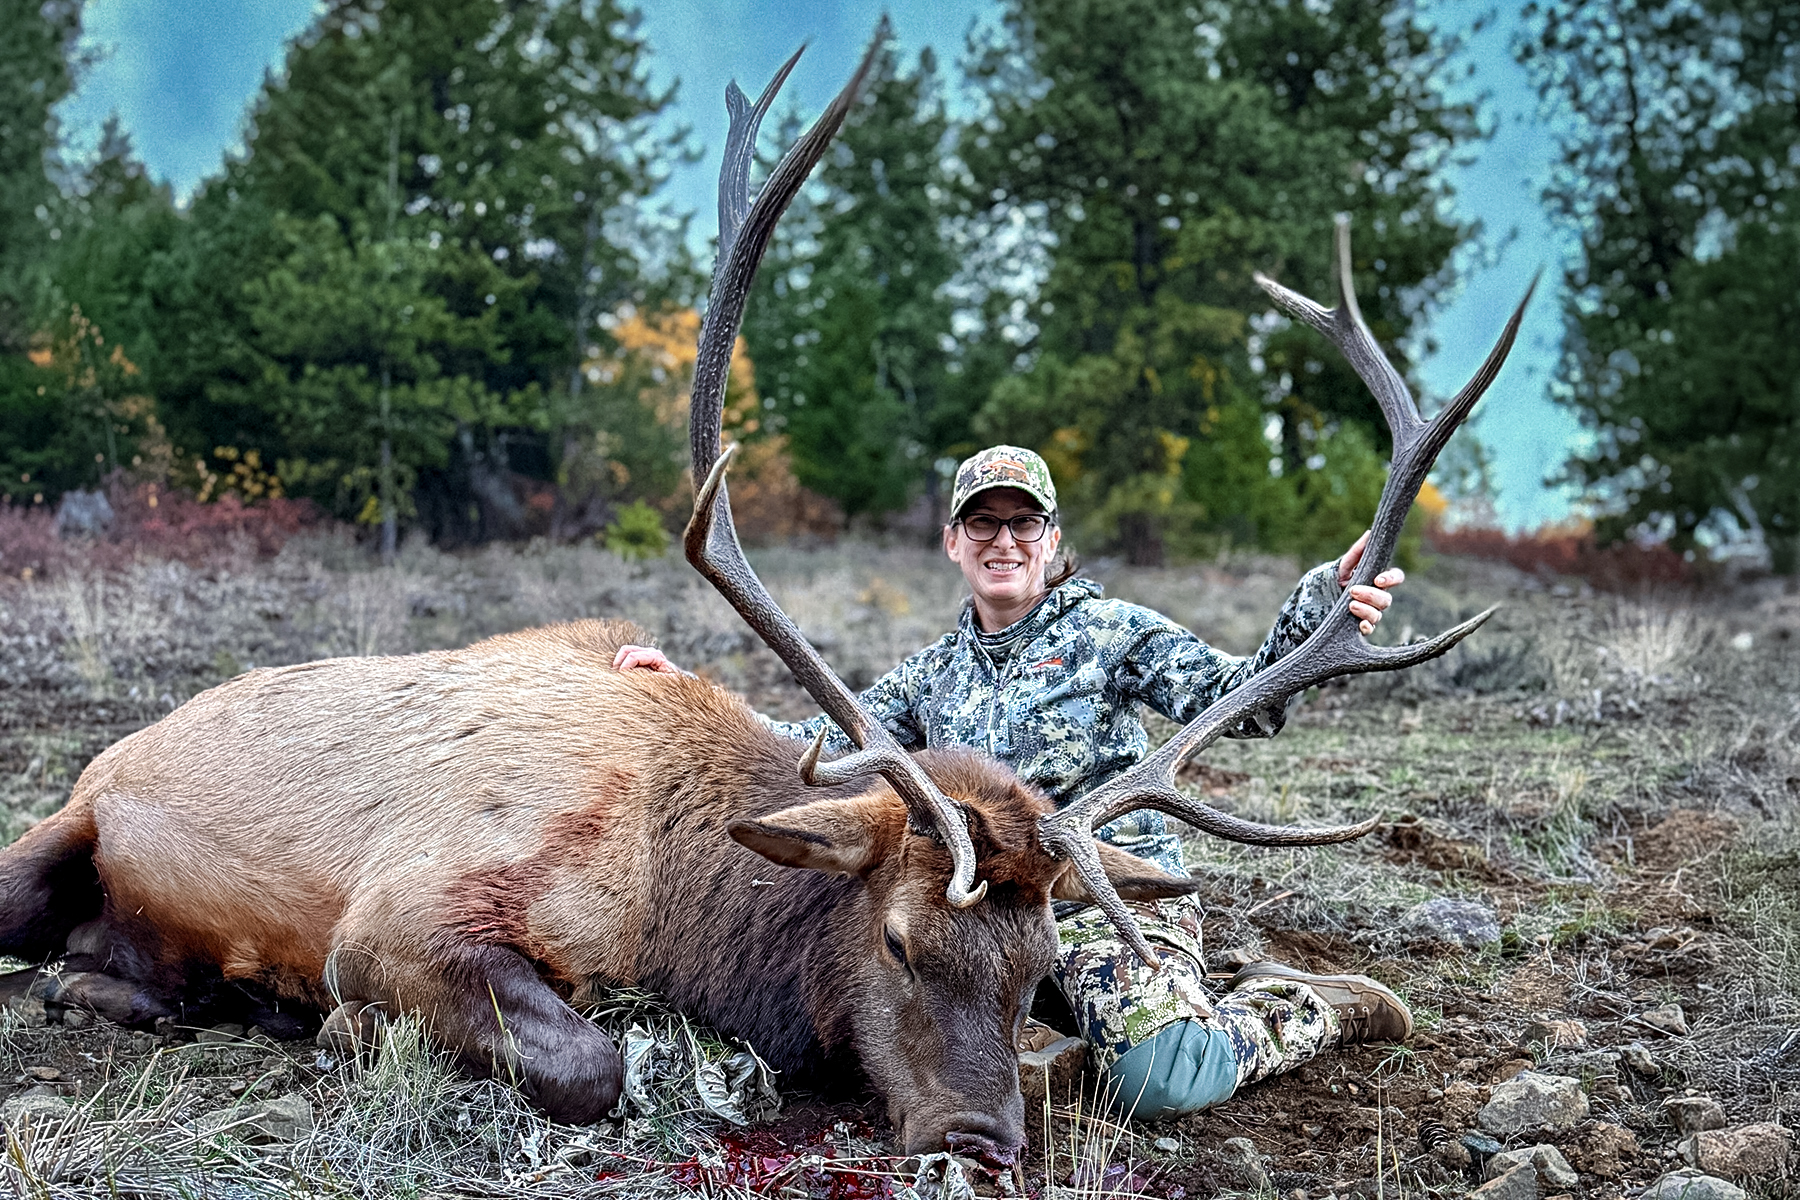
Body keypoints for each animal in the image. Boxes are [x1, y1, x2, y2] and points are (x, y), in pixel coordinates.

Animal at [0, 24, 1530, 1167]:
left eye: (1040, 960)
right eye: (900, 941)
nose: (979, 1141)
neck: (681, 894)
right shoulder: (406, 907)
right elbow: (586, 1059)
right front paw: (332, 1028)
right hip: (56, 831)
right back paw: (119, 985)